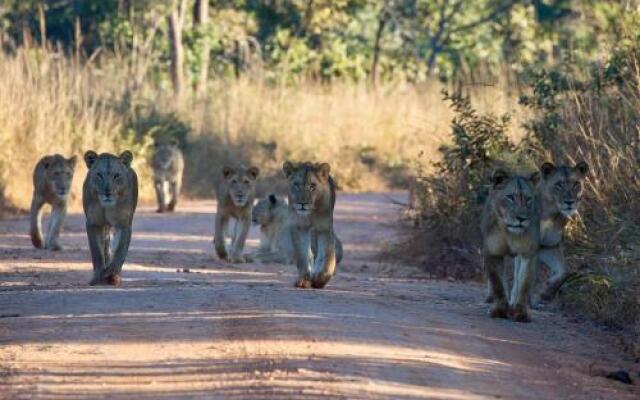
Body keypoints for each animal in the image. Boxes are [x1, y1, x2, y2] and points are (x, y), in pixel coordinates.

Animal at [82, 149, 138, 284]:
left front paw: (112, 274)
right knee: (106, 247)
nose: (108, 192)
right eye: (99, 175)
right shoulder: (93, 223)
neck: (107, 207)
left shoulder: (124, 224)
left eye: (116, 175)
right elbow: (97, 252)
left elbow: (120, 251)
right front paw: (97, 277)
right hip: (105, 227)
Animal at [284, 161, 342, 290]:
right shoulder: (299, 227)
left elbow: (327, 255)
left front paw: (321, 279)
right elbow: (303, 255)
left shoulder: (324, 228)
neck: (311, 212)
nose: (302, 203)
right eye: (296, 185)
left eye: (312, 186)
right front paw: (304, 280)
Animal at [480, 168, 540, 322]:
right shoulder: (492, 252)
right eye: (510, 197)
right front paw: (500, 310)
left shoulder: (528, 252)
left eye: (528, 199)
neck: (509, 232)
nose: (521, 218)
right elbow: (498, 283)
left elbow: (524, 283)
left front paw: (521, 312)